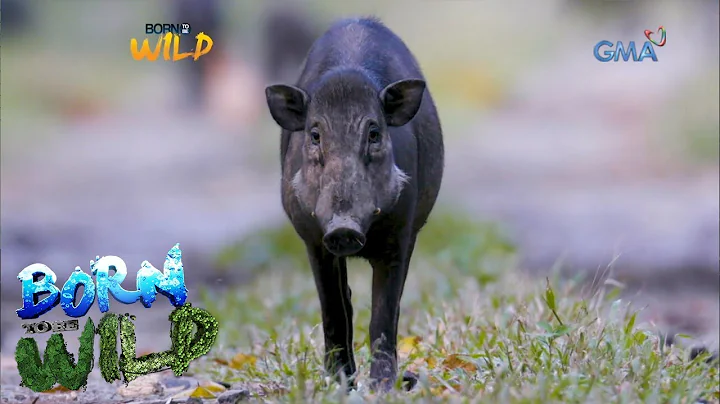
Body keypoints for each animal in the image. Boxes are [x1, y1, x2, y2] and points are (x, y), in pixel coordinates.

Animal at [264, 17, 444, 392]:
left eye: (373, 133)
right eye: (315, 135)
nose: (343, 227)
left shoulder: (401, 232)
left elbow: (384, 312)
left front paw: (382, 387)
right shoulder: (313, 239)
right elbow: (333, 308)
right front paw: (338, 384)